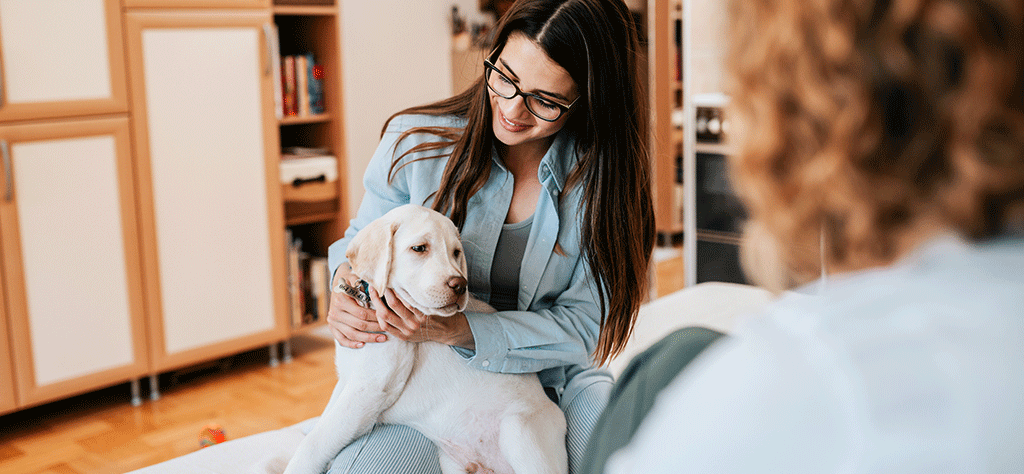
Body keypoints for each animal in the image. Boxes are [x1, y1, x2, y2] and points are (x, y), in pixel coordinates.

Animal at [280, 204, 569, 474]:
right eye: (419, 248)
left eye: (456, 252)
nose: (461, 286)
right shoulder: (350, 381)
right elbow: (323, 422)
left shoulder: (369, 388)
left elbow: (315, 442)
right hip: (453, 464)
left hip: (520, 432)